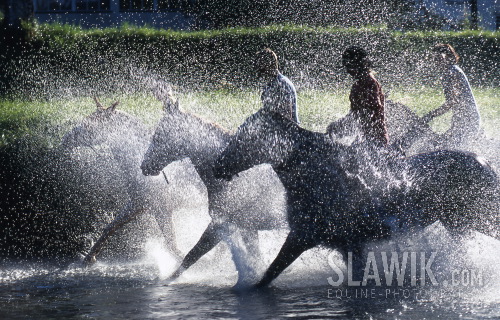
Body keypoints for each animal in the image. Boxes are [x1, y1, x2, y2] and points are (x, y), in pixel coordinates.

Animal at [60, 98, 186, 264]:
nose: (64, 139)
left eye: (89, 125)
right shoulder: (137, 205)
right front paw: (90, 256)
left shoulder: (162, 210)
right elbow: (110, 227)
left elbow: (172, 246)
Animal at [142, 88, 290, 282]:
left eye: (159, 135)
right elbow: (254, 258)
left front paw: (169, 279)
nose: (144, 165)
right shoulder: (247, 227)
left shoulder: (219, 224)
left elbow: (193, 254)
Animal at [213, 109, 498, 288]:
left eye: (244, 137)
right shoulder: (350, 245)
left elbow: (269, 274)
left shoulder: (301, 236)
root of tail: (484, 162)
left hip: (482, 219)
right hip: (458, 225)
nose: (219, 165)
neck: (318, 175)